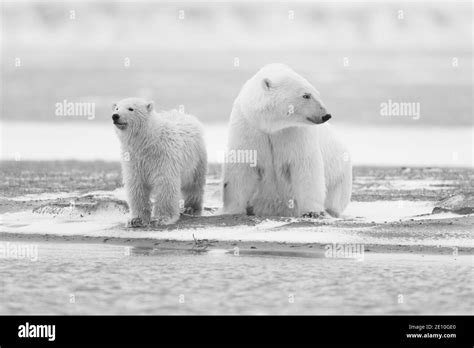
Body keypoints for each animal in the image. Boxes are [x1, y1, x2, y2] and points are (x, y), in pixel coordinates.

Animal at [113, 97, 207, 226]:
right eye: (117, 108)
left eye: (130, 108)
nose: (115, 116)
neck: (148, 142)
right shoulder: (134, 159)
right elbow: (136, 185)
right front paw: (136, 219)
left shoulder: (163, 157)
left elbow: (165, 184)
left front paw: (162, 218)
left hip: (196, 159)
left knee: (194, 183)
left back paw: (191, 208)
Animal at [222, 63, 352, 218]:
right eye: (306, 95)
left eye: (316, 93)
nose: (326, 115)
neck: (271, 125)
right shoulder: (249, 127)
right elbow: (242, 166)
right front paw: (233, 210)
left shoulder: (295, 132)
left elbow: (305, 166)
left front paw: (312, 212)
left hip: (340, 174)